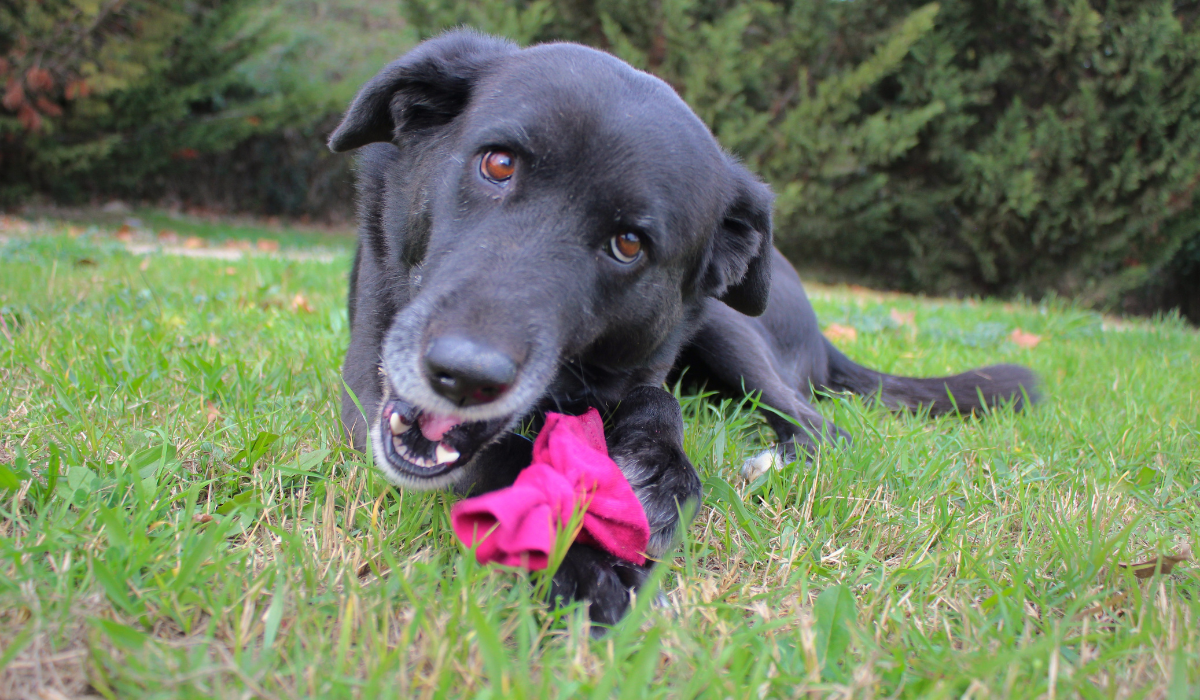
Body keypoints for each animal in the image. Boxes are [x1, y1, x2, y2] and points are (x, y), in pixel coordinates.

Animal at [326, 30, 1032, 629]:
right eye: (498, 164)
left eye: (629, 244)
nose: (464, 375)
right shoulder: (371, 383)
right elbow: (506, 455)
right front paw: (584, 559)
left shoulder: (641, 368)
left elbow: (659, 402)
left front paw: (658, 477)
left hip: (728, 322)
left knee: (818, 424)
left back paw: (766, 463)